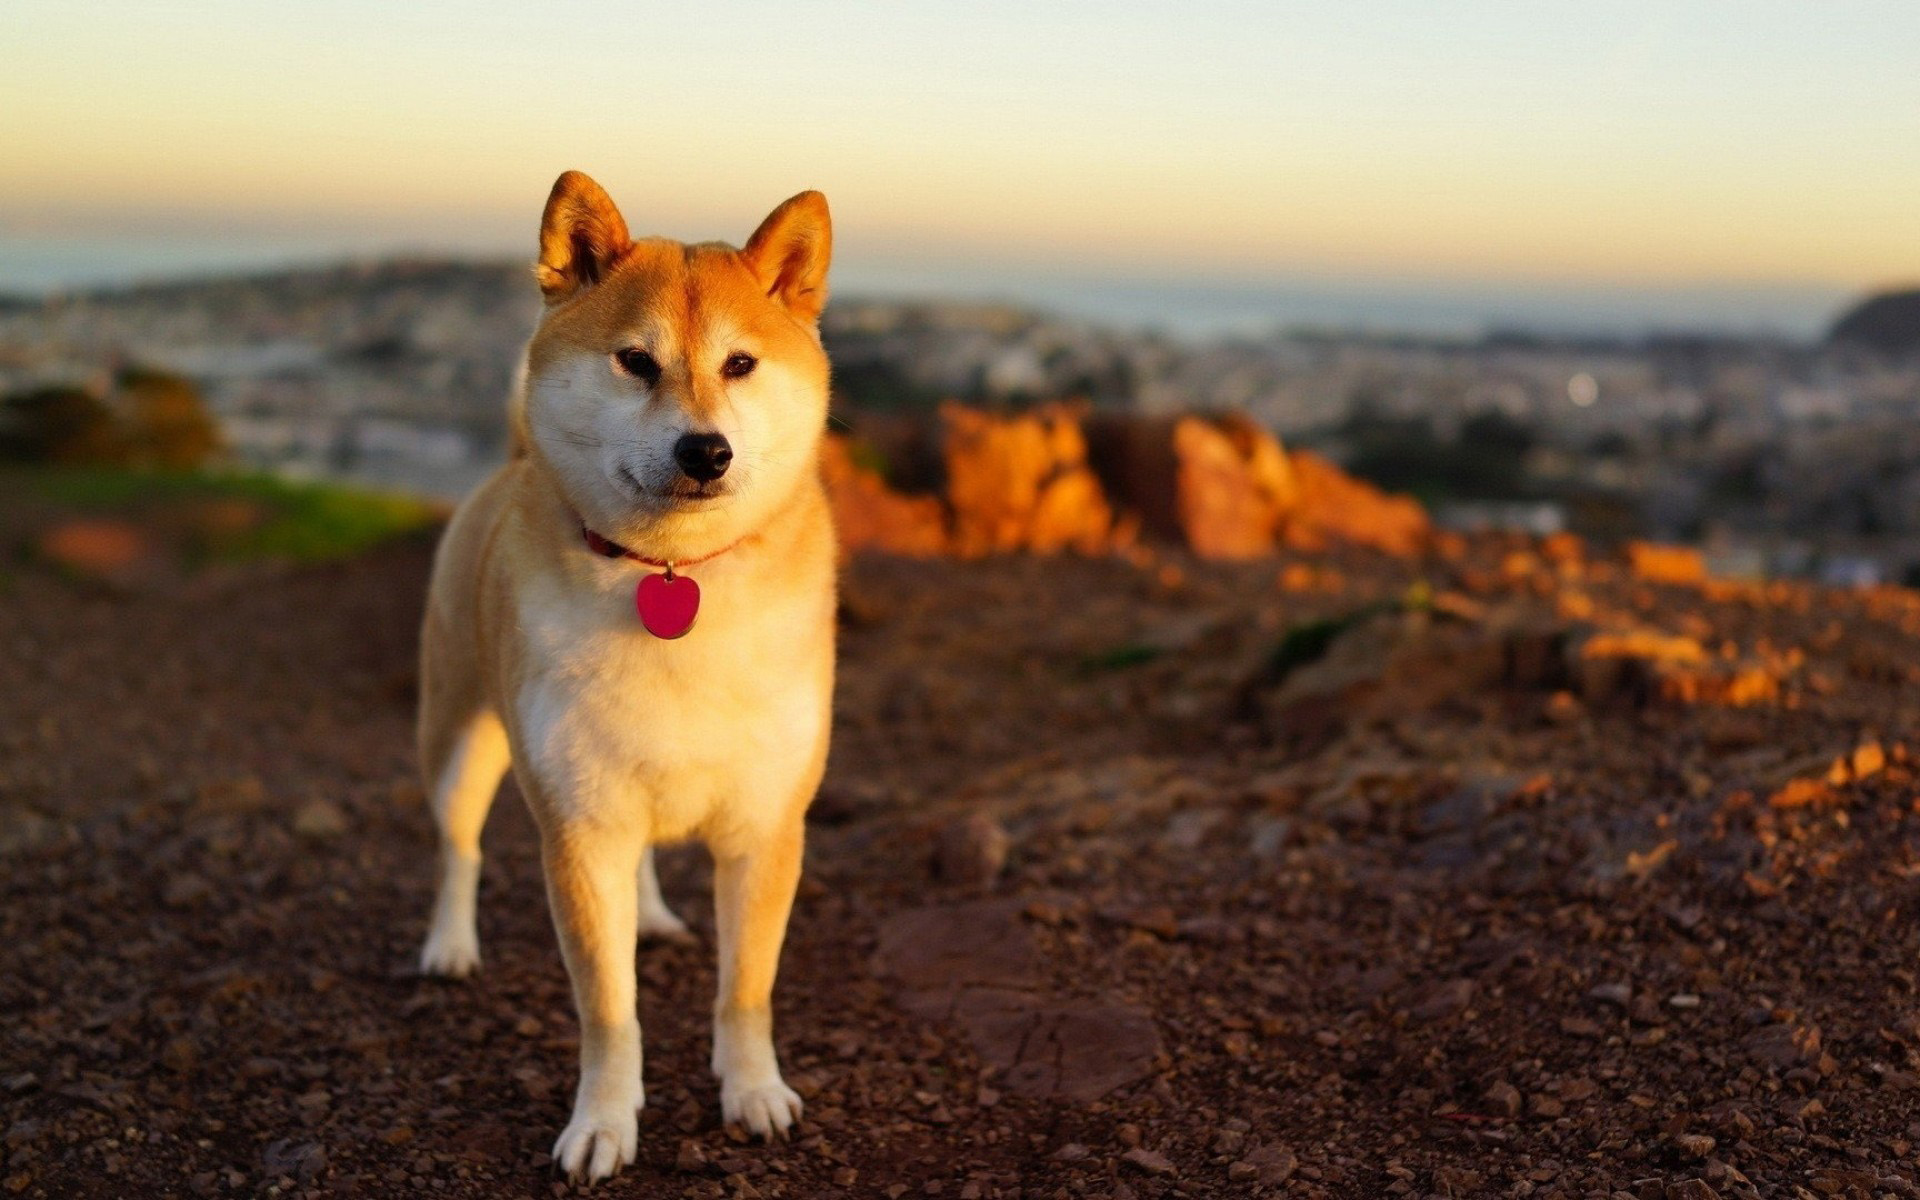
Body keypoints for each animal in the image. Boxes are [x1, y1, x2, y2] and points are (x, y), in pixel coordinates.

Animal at [412, 168, 833, 1182]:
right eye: (635, 362)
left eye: (740, 365)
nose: (705, 450)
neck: (671, 575)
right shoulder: (580, 829)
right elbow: (609, 1009)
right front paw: (602, 1124)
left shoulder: (765, 826)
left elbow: (746, 990)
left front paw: (753, 1093)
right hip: (459, 742)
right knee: (459, 848)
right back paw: (449, 944)